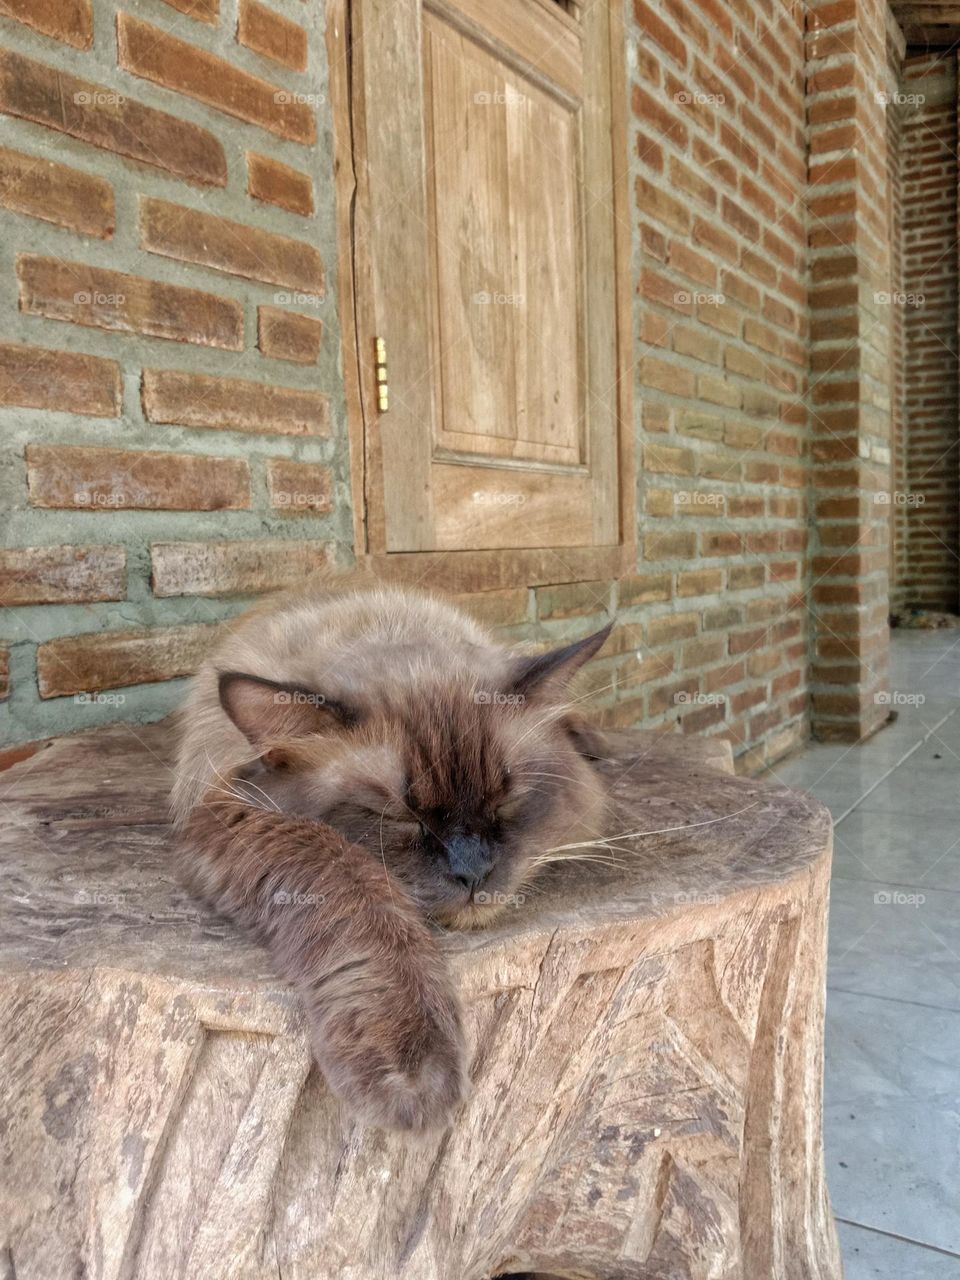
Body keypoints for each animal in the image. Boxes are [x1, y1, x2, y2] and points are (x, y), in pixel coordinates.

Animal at [170, 581, 611, 1131]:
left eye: (505, 802)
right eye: (401, 817)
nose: (473, 872)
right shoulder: (231, 813)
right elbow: (354, 887)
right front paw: (410, 1058)